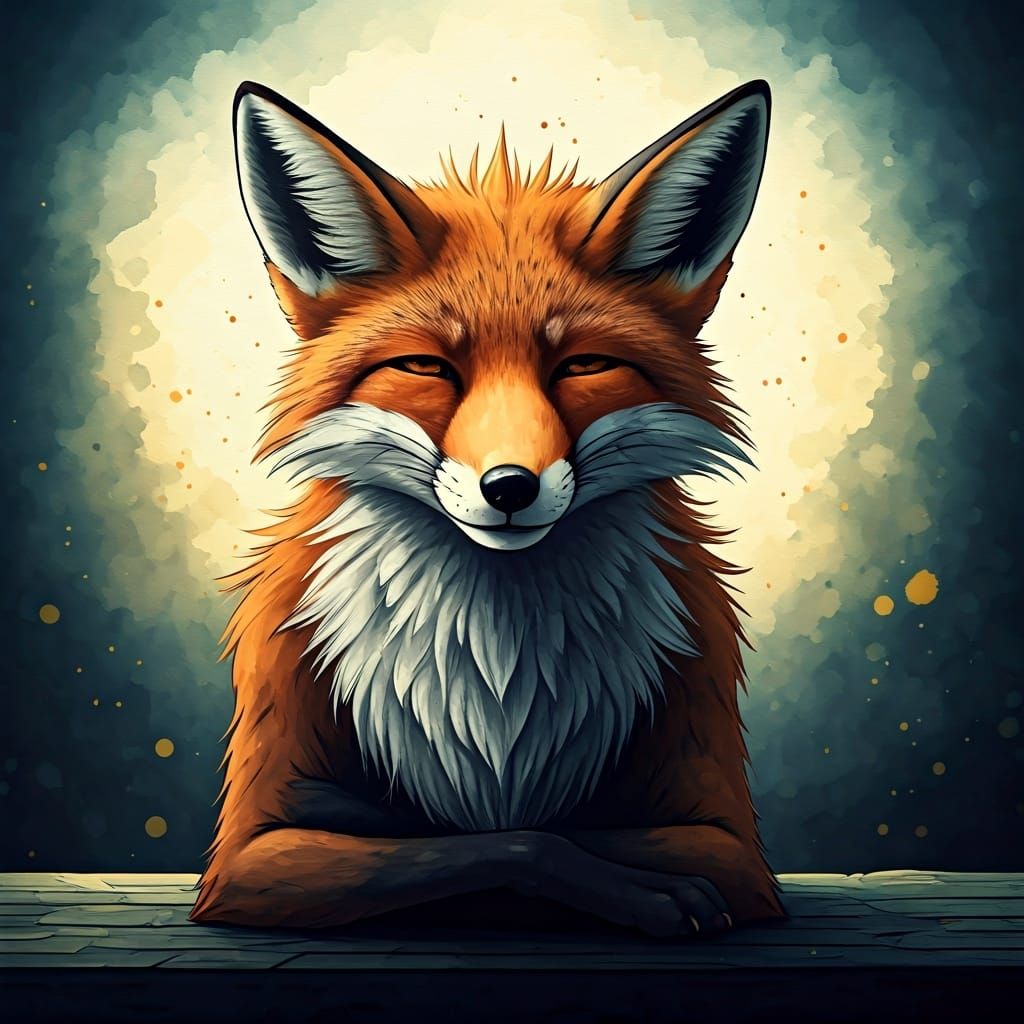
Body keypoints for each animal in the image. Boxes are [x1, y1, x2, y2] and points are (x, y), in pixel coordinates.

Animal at [190, 78, 784, 938]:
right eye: (427, 367)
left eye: (582, 366)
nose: (509, 488)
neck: (498, 678)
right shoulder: (250, 851)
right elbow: (506, 841)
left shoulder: (727, 836)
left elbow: (561, 831)